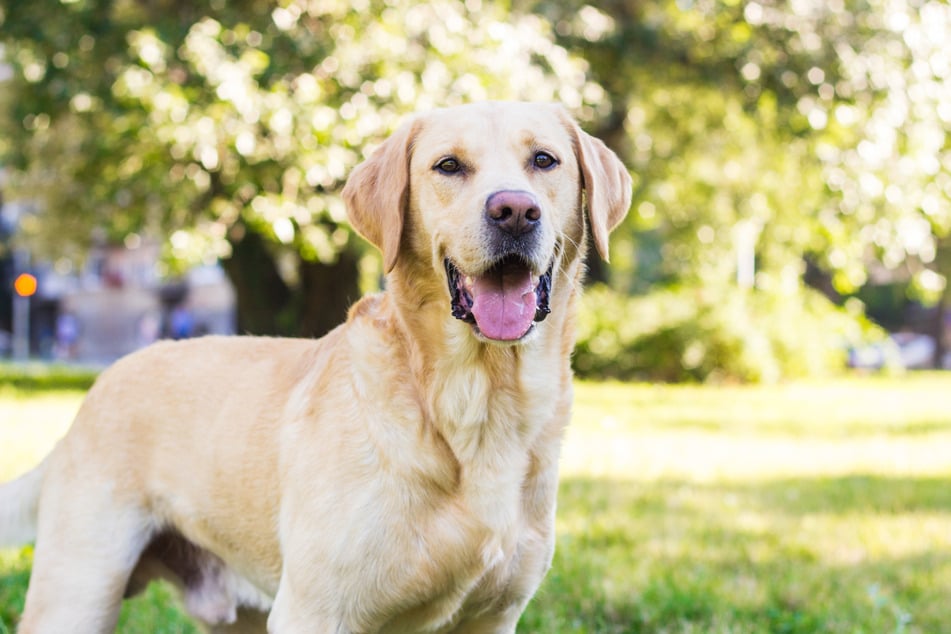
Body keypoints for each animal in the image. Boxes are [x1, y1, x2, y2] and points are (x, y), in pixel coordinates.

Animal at [1, 101, 632, 628]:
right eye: (449, 166)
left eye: (544, 160)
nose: (515, 210)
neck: (475, 403)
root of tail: (95, 390)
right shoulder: (316, 610)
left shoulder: (494, 616)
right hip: (78, 591)